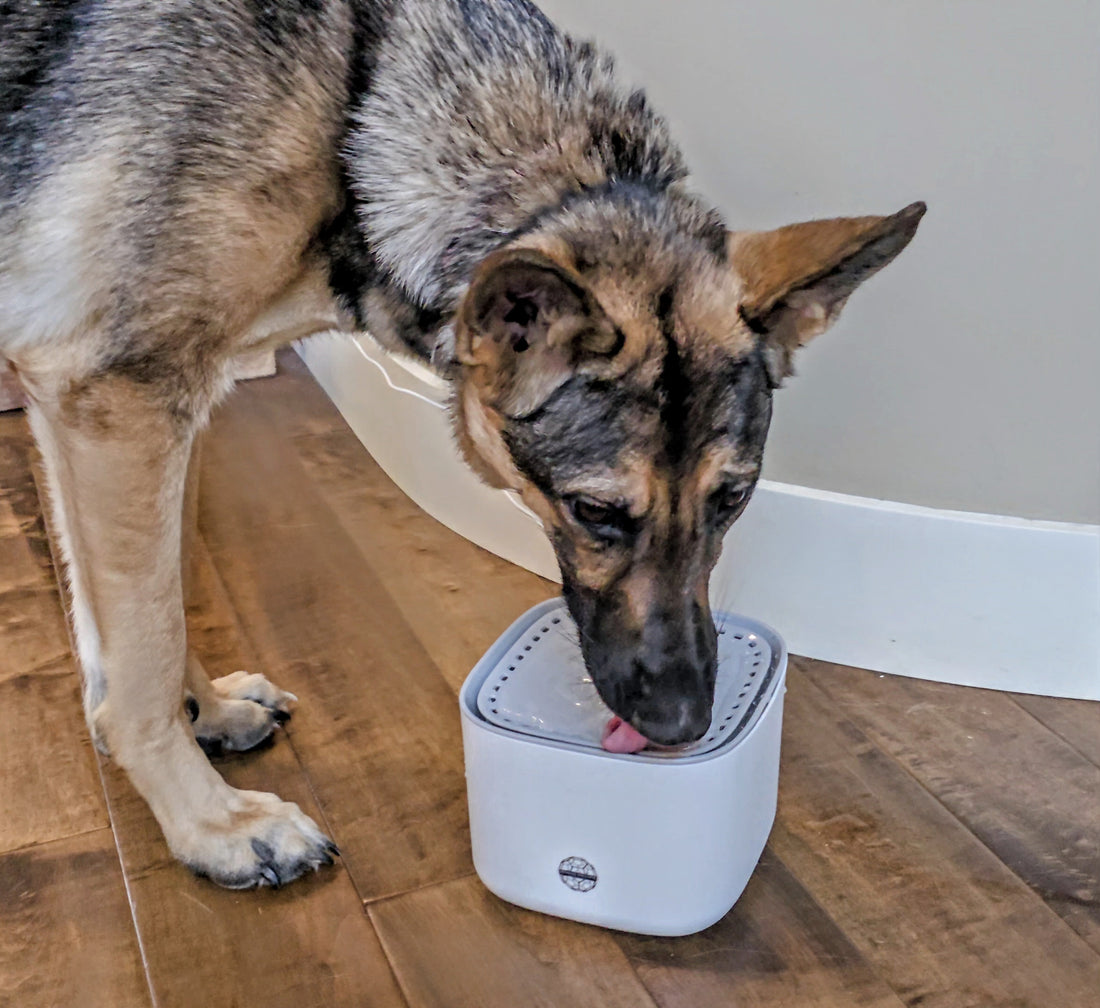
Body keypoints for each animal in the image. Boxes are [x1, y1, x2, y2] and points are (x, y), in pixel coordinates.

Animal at [0, 0, 924, 880]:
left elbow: (163, 603)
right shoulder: (119, 401)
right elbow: (148, 645)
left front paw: (204, 714)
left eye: (733, 497)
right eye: (595, 512)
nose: (682, 724)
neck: (355, 105)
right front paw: (210, 823)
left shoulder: (144, 410)